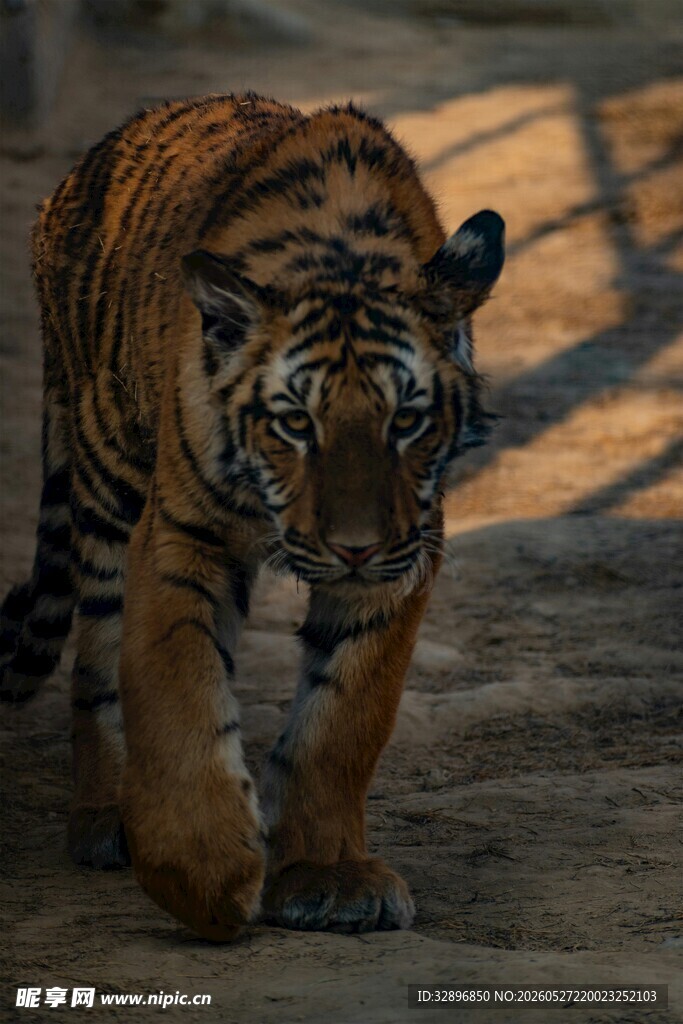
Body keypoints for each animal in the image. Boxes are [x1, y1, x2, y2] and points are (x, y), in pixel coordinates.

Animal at [0, 93, 504, 940]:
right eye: (295, 423)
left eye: (405, 420)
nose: (353, 548)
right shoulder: (182, 532)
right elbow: (174, 688)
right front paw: (200, 875)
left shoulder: (403, 557)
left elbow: (343, 721)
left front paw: (330, 878)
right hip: (106, 481)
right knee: (96, 662)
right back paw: (105, 818)